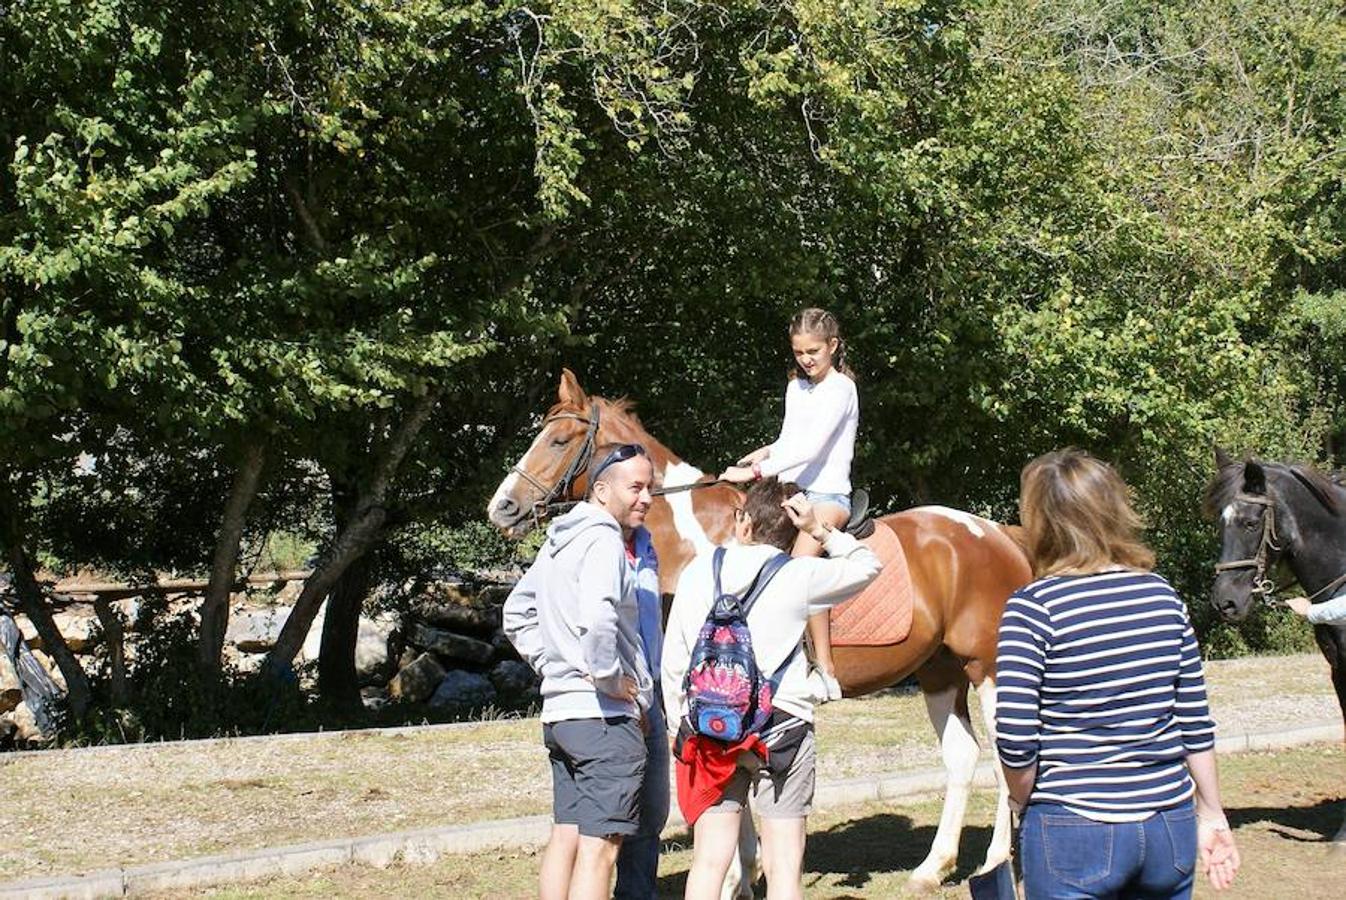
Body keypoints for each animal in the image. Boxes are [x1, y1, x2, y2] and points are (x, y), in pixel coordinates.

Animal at [489, 368, 1022, 887]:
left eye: (558, 440)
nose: (503, 507)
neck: (700, 542)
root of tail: (996, 533)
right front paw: (747, 870)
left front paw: (733, 876)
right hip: (940, 671)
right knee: (962, 757)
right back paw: (933, 868)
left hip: (988, 668)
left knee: (1002, 757)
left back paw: (995, 860)